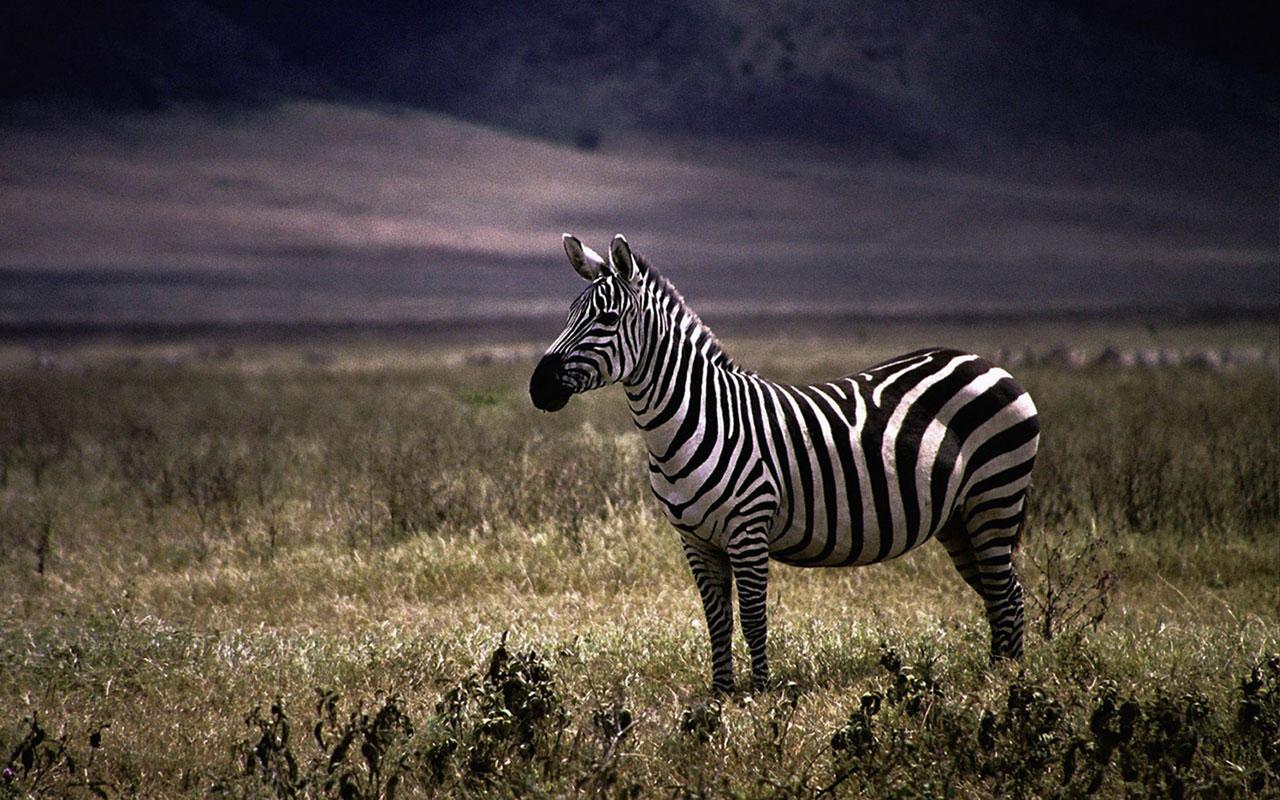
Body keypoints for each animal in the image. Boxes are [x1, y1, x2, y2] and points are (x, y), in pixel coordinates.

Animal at [530, 234, 1040, 692]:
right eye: (569, 313)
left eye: (607, 317)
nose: (539, 386)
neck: (696, 418)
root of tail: (985, 361)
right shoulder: (695, 540)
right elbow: (717, 620)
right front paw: (721, 695)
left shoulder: (748, 527)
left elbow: (753, 618)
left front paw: (761, 697)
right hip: (959, 518)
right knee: (1000, 594)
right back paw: (998, 676)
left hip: (995, 497)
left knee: (1006, 594)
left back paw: (1007, 685)